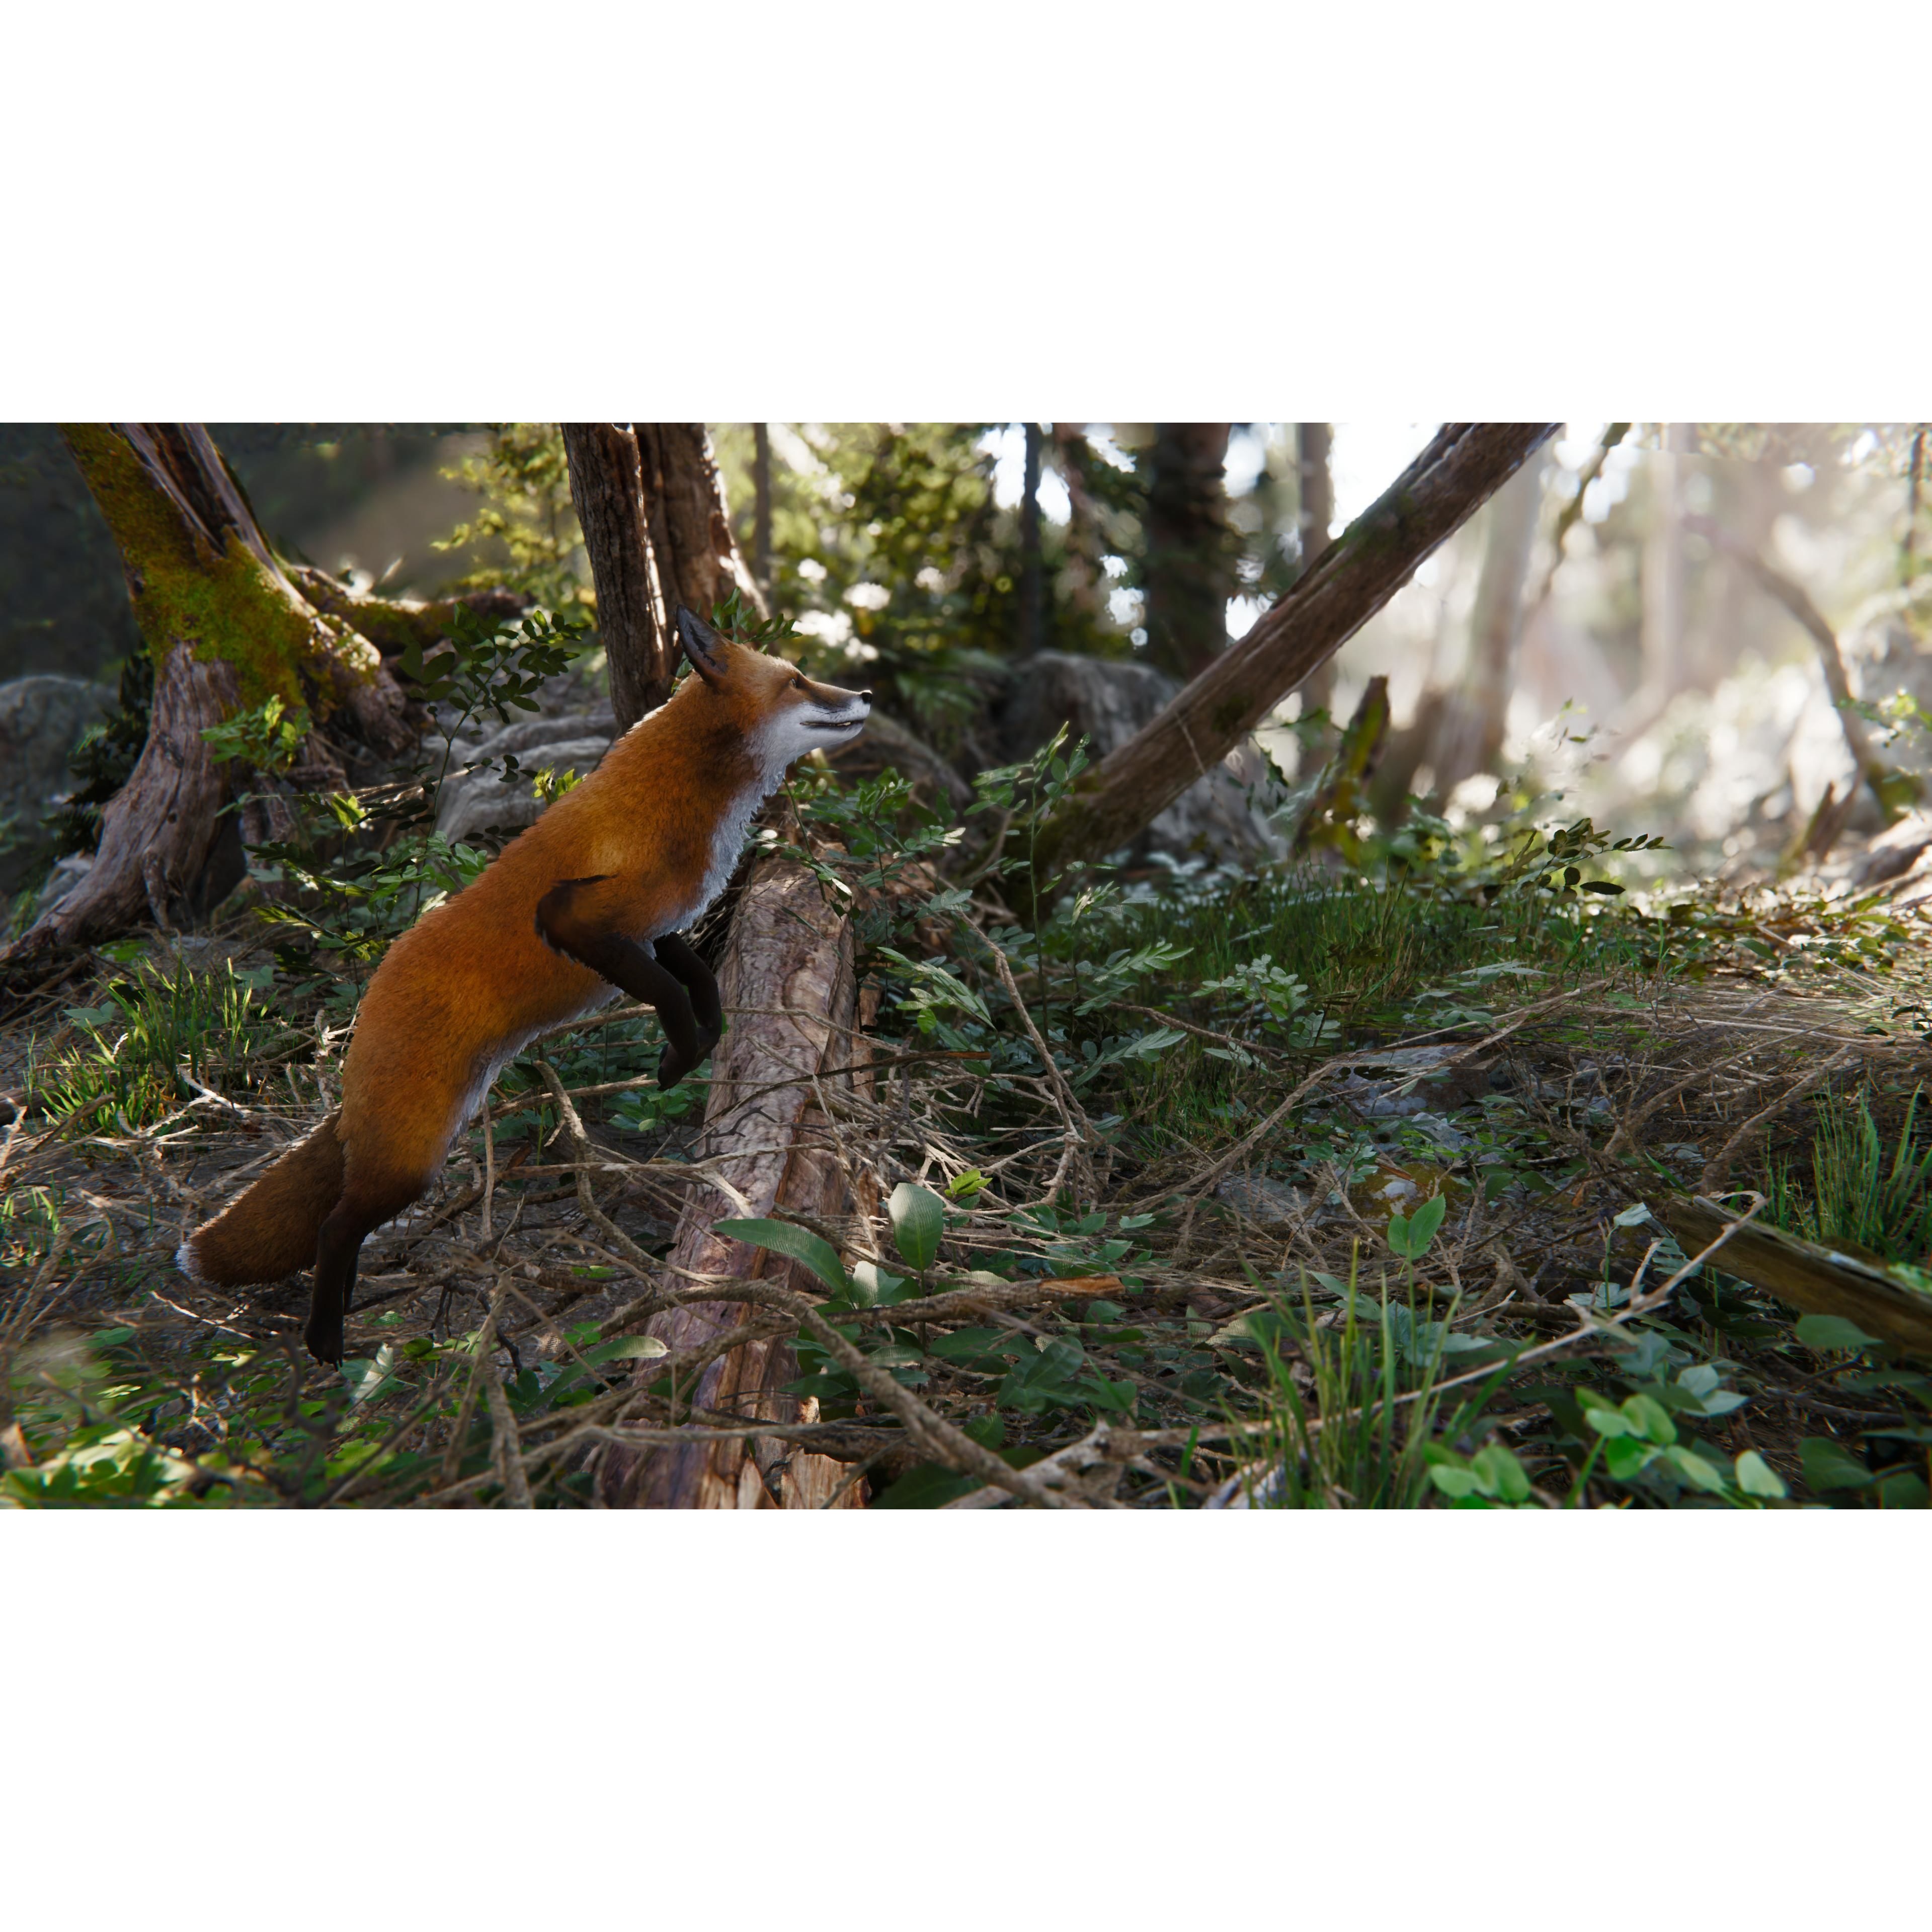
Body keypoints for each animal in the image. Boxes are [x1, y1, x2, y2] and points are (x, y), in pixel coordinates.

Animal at [177, 606, 872, 1365]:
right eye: (798, 680)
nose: (866, 695)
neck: (683, 794)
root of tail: (370, 1000)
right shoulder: (576, 915)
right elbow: (667, 994)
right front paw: (678, 1060)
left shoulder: (655, 927)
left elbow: (698, 984)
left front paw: (701, 1043)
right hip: (412, 1160)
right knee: (335, 1227)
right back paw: (326, 1341)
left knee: (339, 1218)